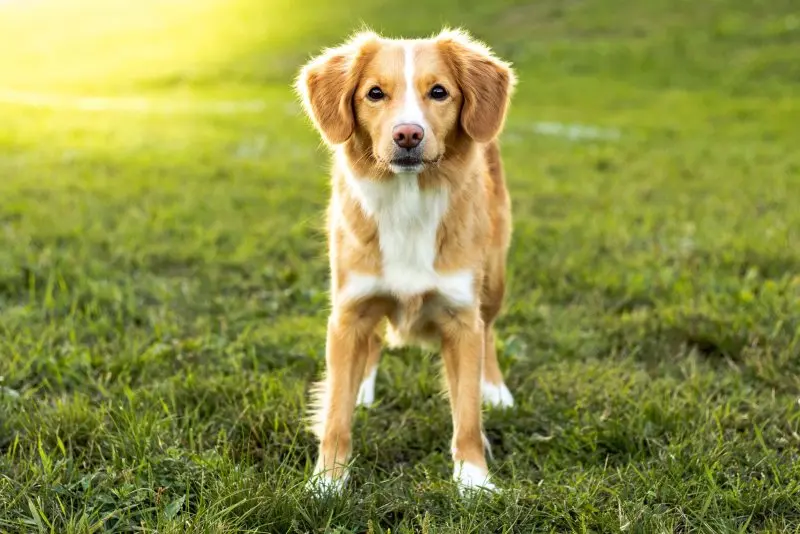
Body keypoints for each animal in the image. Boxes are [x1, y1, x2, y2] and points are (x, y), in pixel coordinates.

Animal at [296, 28, 516, 498]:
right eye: (375, 93)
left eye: (439, 92)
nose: (408, 134)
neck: (407, 201)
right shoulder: (349, 312)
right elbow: (336, 413)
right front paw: (328, 482)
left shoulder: (461, 317)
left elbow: (466, 415)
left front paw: (474, 480)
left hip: (494, 278)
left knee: (489, 330)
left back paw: (495, 389)